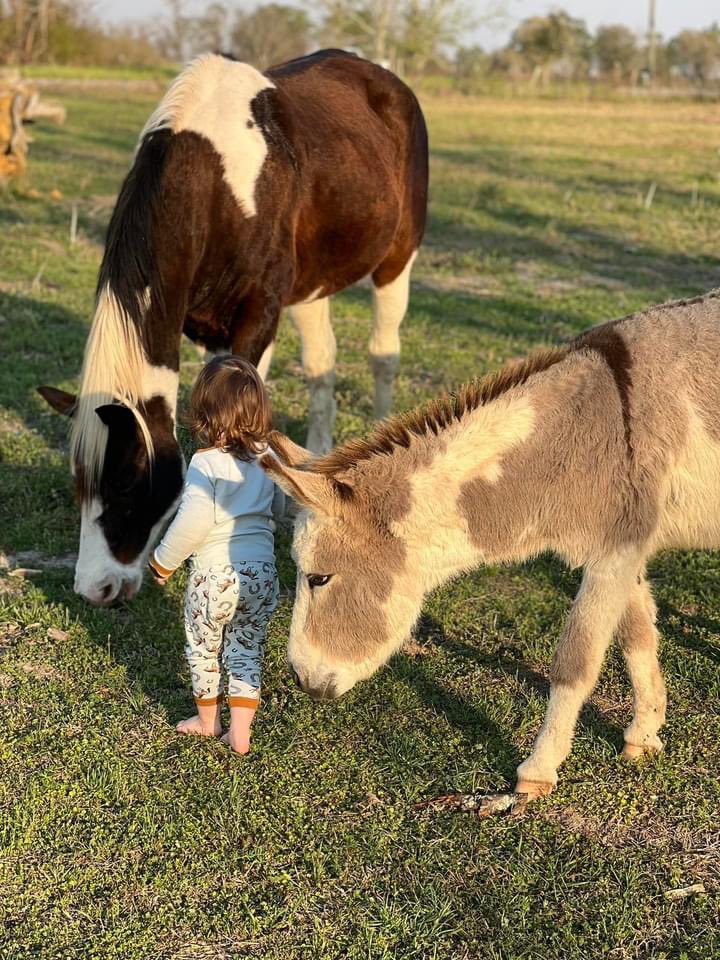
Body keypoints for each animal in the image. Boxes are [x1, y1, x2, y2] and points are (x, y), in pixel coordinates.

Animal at [38, 49, 428, 606]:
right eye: (79, 483)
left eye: (127, 484)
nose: (96, 588)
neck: (218, 180)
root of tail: (383, 76)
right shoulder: (209, 323)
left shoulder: (258, 314)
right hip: (311, 286)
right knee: (322, 363)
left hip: (397, 260)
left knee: (383, 354)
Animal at [262, 290, 720, 800]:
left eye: (318, 578)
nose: (300, 679)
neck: (589, 428)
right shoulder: (623, 547)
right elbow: (637, 636)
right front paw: (644, 734)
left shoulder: (615, 549)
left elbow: (575, 660)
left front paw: (537, 772)